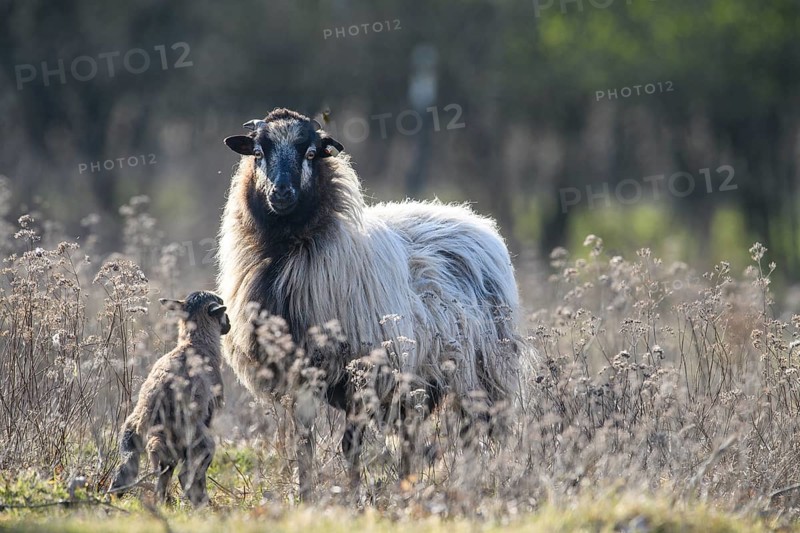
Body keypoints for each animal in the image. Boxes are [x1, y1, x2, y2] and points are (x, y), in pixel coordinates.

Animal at [108, 291, 231, 506]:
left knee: (129, 472)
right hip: (197, 440)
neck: (196, 344)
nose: (229, 324)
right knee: (187, 474)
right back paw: (202, 504)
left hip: (131, 438)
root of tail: (153, 417)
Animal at [217, 108, 524, 495]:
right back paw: (409, 487)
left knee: (473, 434)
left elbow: (350, 444)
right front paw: (305, 495)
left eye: (311, 153)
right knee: (411, 437)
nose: (281, 192)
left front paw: (351, 495)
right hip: (419, 381)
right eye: (258, 152)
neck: (289, 253)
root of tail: (475, 220)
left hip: (482, 373)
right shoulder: (298, 378)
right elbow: (304, 443)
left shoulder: (361, 375)